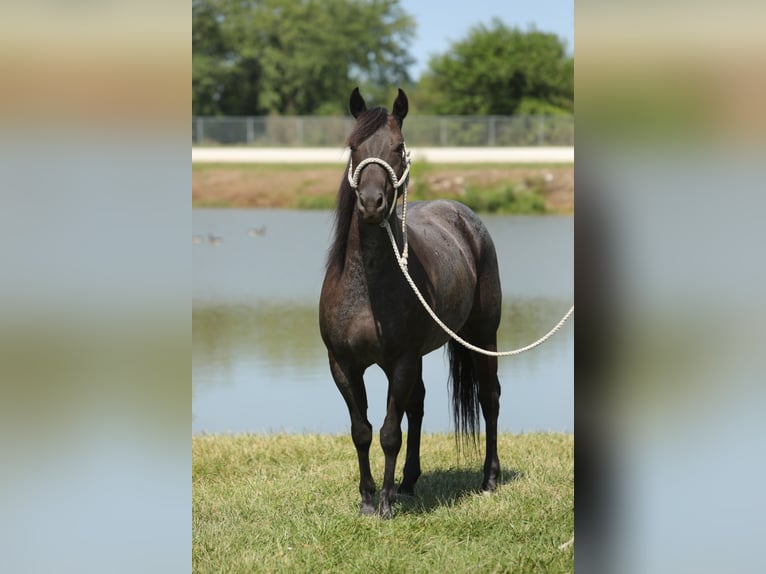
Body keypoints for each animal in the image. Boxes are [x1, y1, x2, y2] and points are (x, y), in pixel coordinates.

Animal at [318, 86, 504, 520]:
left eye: (398, 147)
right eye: (353, 146)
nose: (371, 202)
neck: (366, 287)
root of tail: (465, 217)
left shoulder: (400, 362)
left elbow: (389, 432)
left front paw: (385, 503)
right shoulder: (343, 365)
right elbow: (362, 431)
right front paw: (369, 498)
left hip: (483, 337)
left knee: (489, 398)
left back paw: (489, 478)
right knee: (417, 406)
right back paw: (409, 482)